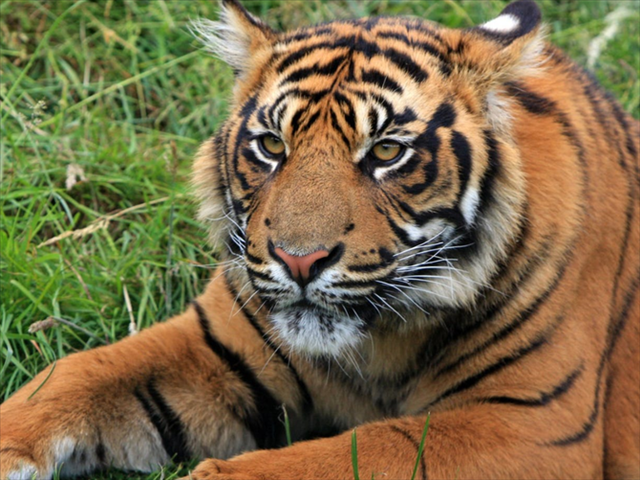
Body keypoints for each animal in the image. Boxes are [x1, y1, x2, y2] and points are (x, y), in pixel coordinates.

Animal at [1, 0, 639, 479]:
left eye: (386, 151)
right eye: (271, 146)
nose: (299, 260)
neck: (377, 344)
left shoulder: (526, 425)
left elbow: (353, 455)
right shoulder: (217, 347)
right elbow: (76, 375)